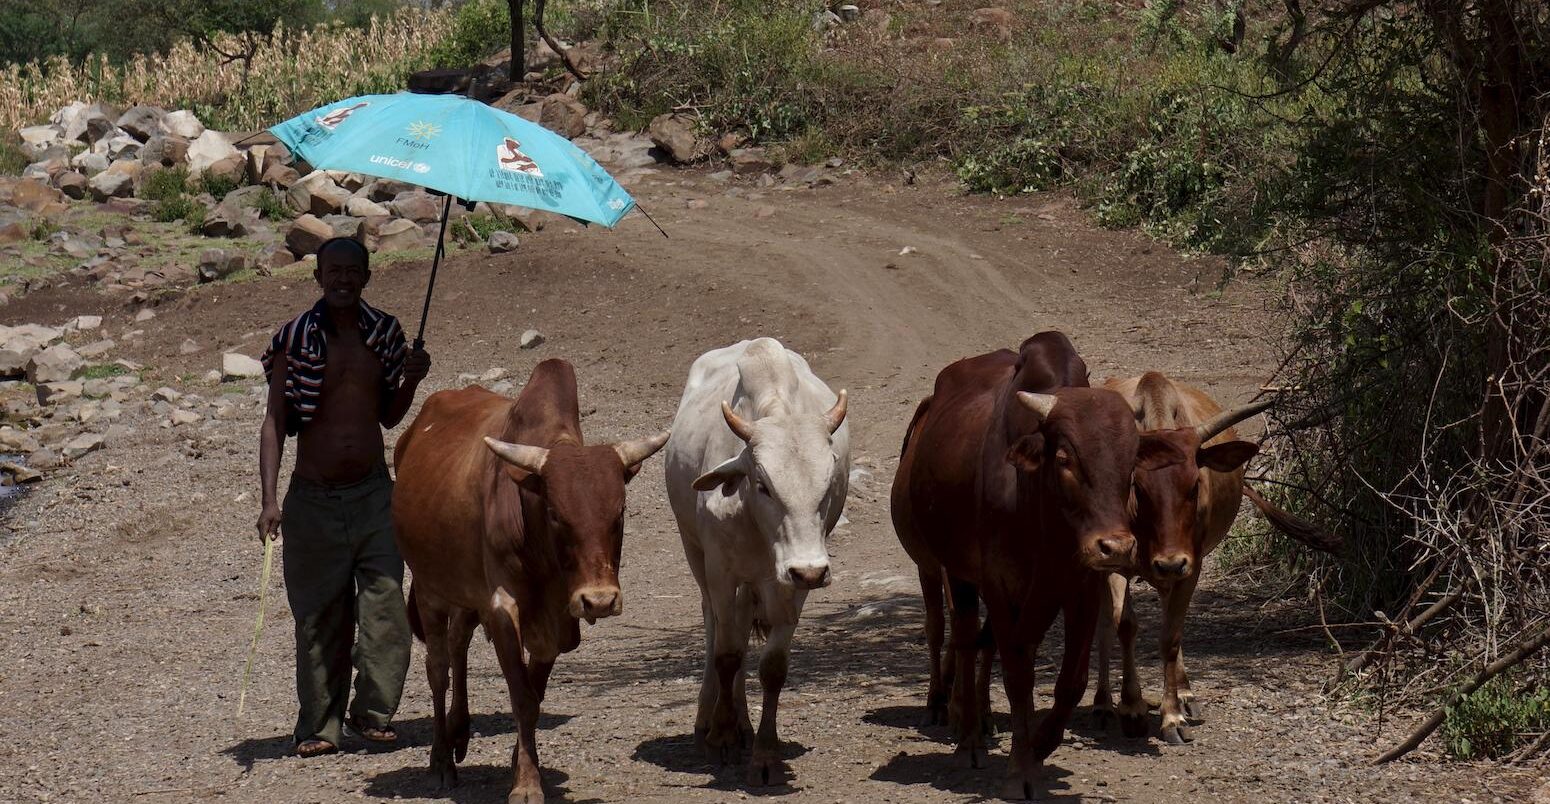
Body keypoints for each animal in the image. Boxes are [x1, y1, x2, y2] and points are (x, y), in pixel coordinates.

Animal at [393, 362, 666, 799]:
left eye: (619, 512)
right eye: (556, 513)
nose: (600, 601)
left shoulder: (555, 622)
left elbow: (535, 696)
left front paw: (520, 764)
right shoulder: (502, 607)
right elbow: (522, 698)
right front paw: (525, 783)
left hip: (466, 592)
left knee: (458, 643)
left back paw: (459, 731)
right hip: (429, 589)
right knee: (438, 667)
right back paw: (440, 761)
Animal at [663, 337, 849, 786]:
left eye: (828, 484)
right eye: (763, 484)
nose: (810, 570)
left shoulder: (790, 583)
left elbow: (772, 667)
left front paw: (764, 754)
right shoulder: (720, 571)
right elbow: (726, 654)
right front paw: (721, 736)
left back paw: (745, 727)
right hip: (696, 555)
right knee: (716, 629)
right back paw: (708, 722)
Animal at [899, 331, 1171, 799]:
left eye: (1131, 462)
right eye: (1064, 459)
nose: (1115, 547)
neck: (1039, 508)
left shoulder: (1079, 588)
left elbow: (1070, 682)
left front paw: (1041, 745)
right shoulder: (999, 586)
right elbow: (1017, 674)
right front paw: (1020, 769)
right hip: (957, 574)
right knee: (966, 640)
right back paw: (969, 739)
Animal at [1091, 374, 1333, 746]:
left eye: (1194, 486)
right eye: (1138, 487)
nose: (1169, 563)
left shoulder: (1191, 567)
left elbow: (1170, 637)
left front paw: (1173, 715)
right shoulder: (1117, 565)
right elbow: (1124, 625)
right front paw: (1131, 708)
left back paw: (1184, 693)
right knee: (1105, 623)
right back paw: (1103, 703)